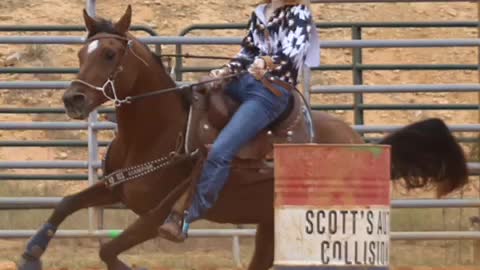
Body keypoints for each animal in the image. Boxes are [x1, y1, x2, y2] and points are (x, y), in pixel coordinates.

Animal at [17, 5, 468, 270]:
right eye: (81, 54)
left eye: (110, 54)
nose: (73, 99)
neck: (159, 132)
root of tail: (364, 144)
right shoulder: (117, 189)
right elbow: (66, 203)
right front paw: (31, 254)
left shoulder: (155, 215)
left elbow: (108, 249)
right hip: (270, 222)